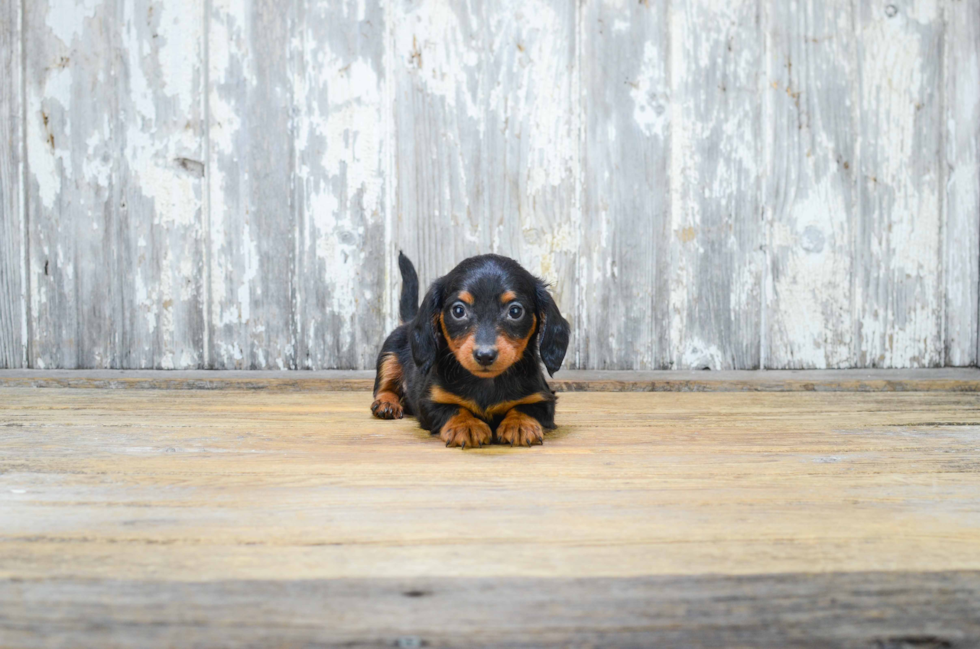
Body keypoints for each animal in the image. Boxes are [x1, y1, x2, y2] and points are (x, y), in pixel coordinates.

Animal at [372, 251, 572, 448]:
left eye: (515, 311)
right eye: (458, 311)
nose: (485, 356)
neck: (486, 382)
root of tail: (408, 322)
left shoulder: (543, 397)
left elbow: (527, 408)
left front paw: (520, 424)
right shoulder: (430, 400)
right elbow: (453, 409)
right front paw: (466, 425)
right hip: (389, 353)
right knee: (385, 386)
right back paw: (386, 404)